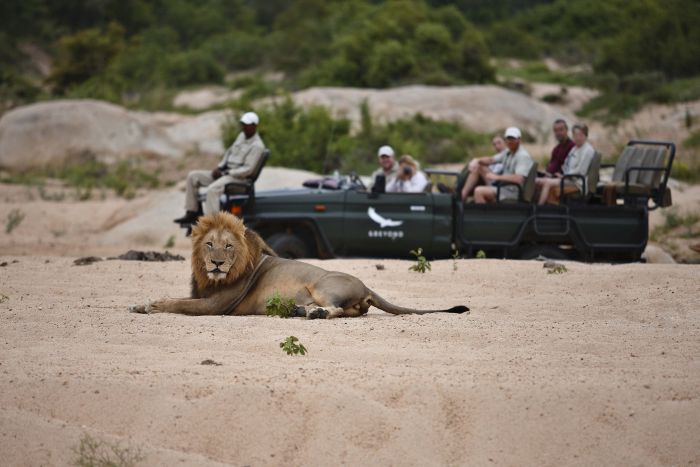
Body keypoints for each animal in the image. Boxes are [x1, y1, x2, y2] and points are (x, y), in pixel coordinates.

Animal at [131, 213, 470, 320]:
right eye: (208, 244)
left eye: (228, 246)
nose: (216, 263)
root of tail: (367, 286)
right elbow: (177, 298)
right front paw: (139, 304)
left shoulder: (216, 306)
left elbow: (177, 303)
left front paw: (152, 306)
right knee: (348, 312)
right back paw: (298, 310)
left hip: (320, 285)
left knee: (334, 310)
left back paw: (312, 313)